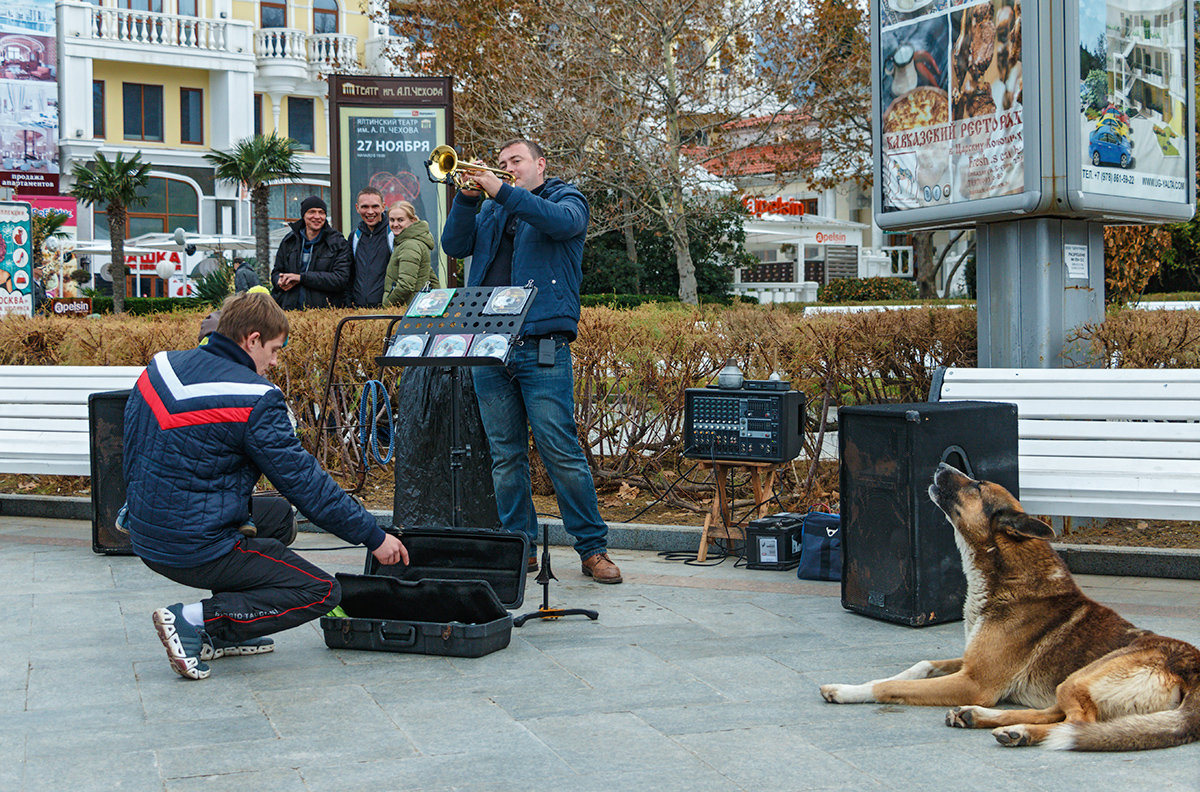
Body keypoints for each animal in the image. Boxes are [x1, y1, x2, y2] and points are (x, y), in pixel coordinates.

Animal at [820, 460, 1200, 753]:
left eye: (976, 486)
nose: (941, 465)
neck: (1002, 575)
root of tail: (1193, 670)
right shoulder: (969, 665)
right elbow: (920, 665)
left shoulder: (974, 682)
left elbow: (889, 688)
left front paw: (848, 690)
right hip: (1067, 684)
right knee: (1058, 714)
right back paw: (986, 720)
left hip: (1079, 678)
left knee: (1078, 723)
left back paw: (1021, 733)